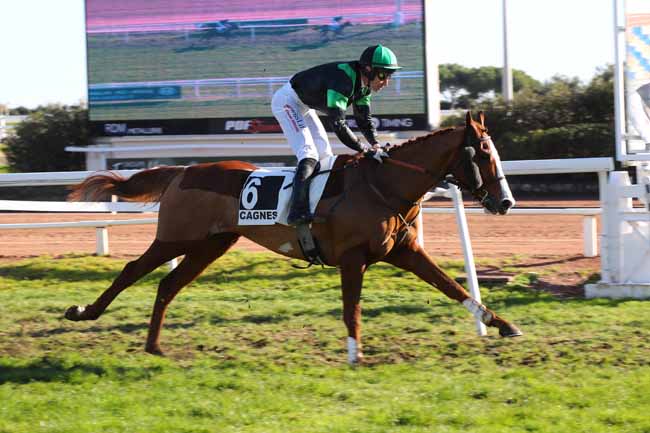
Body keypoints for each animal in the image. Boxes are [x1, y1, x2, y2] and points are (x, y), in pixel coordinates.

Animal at [66, 110, 520, 362]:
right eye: (482, 152)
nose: (506, 202)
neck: (383, 184)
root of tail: (183, 170)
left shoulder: (405, 252)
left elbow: (453, 287)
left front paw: (500, 324)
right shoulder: (353, 258)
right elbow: (352, 309)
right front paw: (355, 354)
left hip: (211, 245)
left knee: (168, 284)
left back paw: (154, 346)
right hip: (175, 239)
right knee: (131, 270)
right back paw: (84, 312)